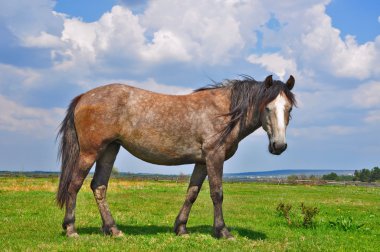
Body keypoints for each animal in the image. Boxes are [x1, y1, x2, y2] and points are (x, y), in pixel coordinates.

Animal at [55, 74, 296, 238]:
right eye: (267, 108)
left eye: (289, 109)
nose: (279, 146)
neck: (226, 112)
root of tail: (84, 97)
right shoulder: (214, 156)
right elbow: (217, 193)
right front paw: (222, 231)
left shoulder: (202, 161)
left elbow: (192, 193)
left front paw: (181, 228)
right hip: (90, 152)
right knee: (74, 185)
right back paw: (71, 229)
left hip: (109, 150)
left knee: (99, 186)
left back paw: (113, 229)